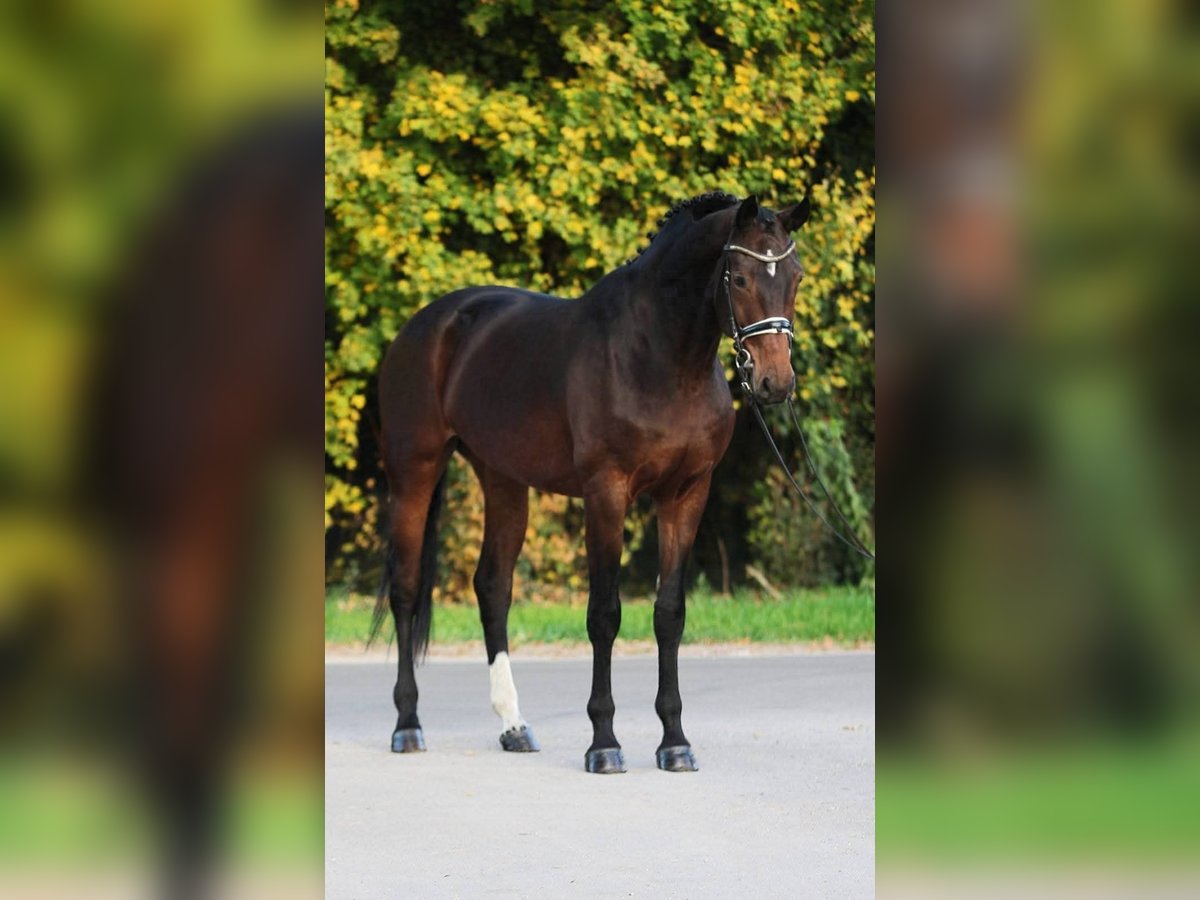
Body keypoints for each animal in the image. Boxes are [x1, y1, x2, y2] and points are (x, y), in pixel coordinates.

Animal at [372, 192, 806, 777]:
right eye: (737, 277)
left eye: (797, 276)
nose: (774, 382)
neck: (658, 357)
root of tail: (427, 325)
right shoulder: (606, 494)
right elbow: (604, 614)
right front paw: (604, 743)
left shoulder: (686, 494)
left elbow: (669, 614)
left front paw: (675, 742)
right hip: (413, 472)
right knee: (406, 588)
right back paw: (408, 725)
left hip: (503, 480)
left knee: (493, 587)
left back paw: (513, 726)